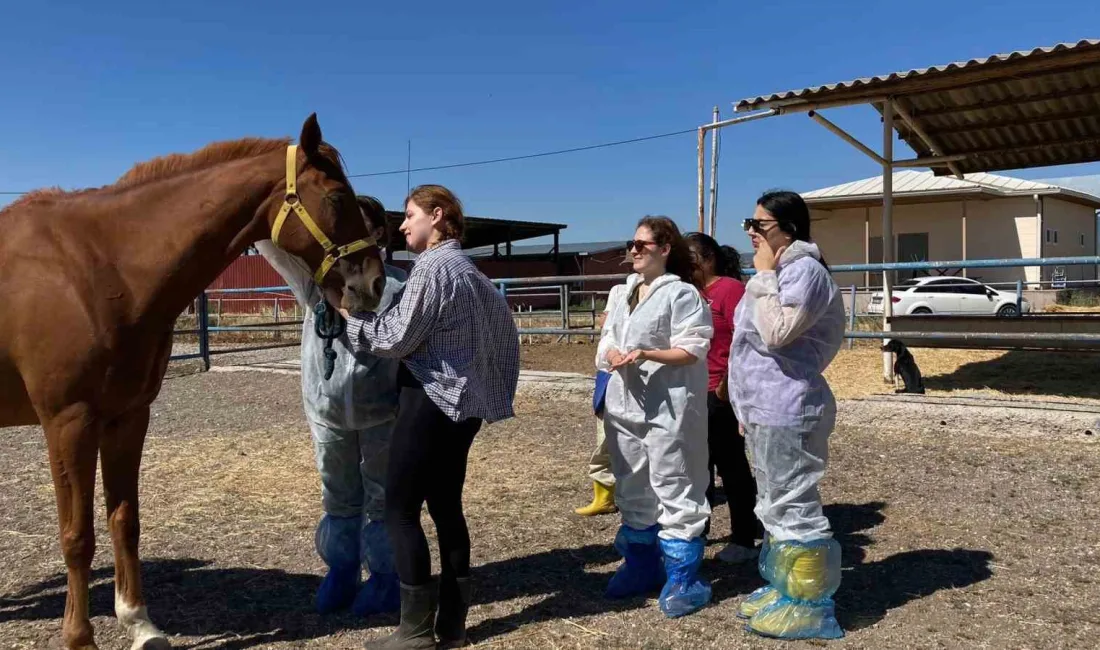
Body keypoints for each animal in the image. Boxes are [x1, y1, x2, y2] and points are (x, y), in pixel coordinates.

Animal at [0, 114, 387, 646]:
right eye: (334, 198)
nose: (373, 283)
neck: (98, 269)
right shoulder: (68, 423)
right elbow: (77, 535)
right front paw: (79, 637)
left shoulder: (127, 417)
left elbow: (124, 520)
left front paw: (139, 622)